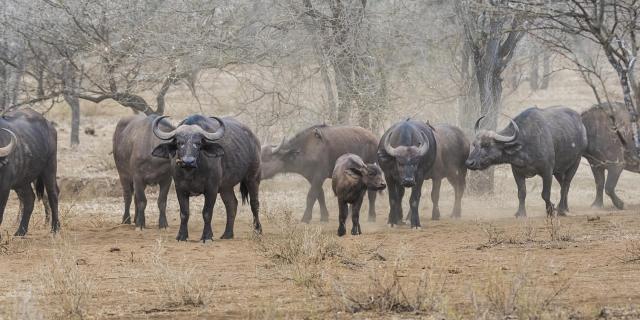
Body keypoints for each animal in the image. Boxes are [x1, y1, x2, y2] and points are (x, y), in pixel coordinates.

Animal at [0, 107, 58, 235]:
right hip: (22, 181)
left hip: (50, 167)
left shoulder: (4, 188)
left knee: (53, 194)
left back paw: (55, 228)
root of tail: (50, 126)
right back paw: (21, 231)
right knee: (29, 199)